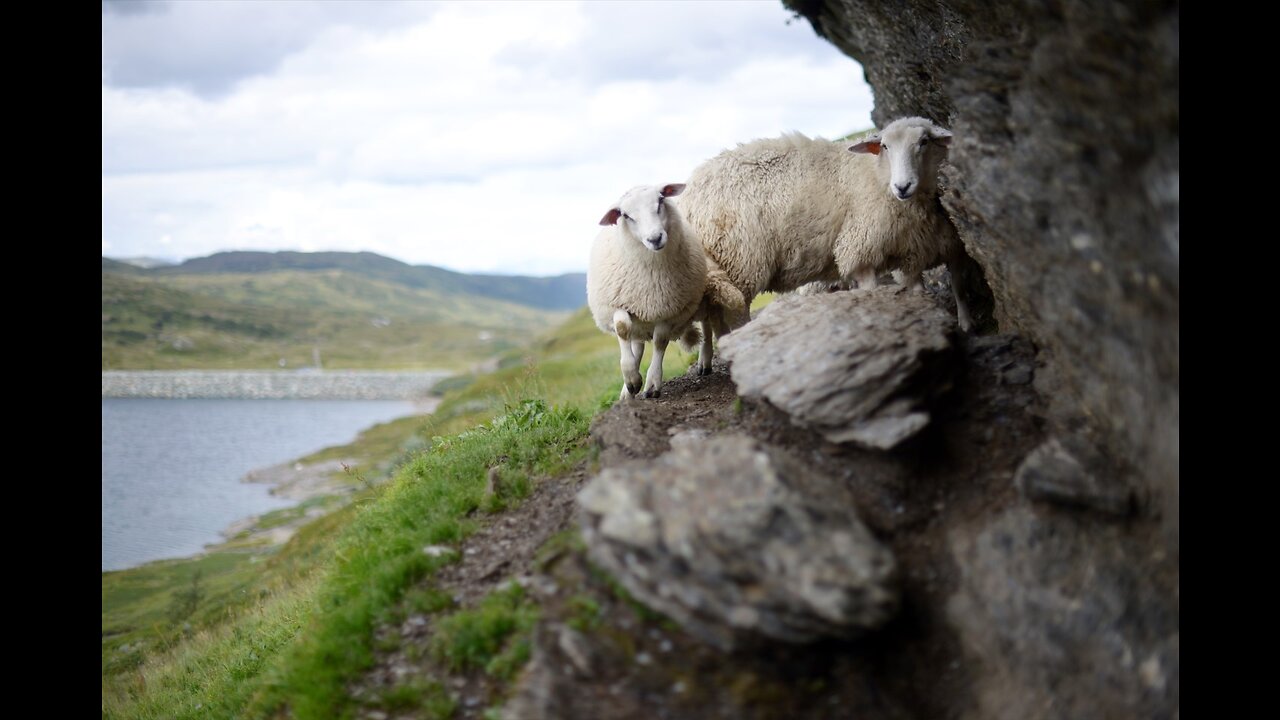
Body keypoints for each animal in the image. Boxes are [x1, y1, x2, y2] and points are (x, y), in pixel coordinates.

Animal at [588, 183, 711, 397]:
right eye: (625, 215)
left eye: (661, 200)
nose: (655, 238)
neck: (651, 277)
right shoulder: (618, 303)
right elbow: (622, 329)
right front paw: (631, 378)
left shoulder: (668, 310)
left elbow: (660, 341)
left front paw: (652, 383)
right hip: (640, 319)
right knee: (635, 342)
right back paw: (627, 391)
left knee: (706, 323)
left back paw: (705, 360)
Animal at [680, 117, 967, 330]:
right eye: (884, 146)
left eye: (924, 141)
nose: (902, 186)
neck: (879, 175)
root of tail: (688, 195)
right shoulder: (860, 249)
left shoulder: (917, 252)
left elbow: (945, 291)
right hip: (740, 261)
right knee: (735, 314)